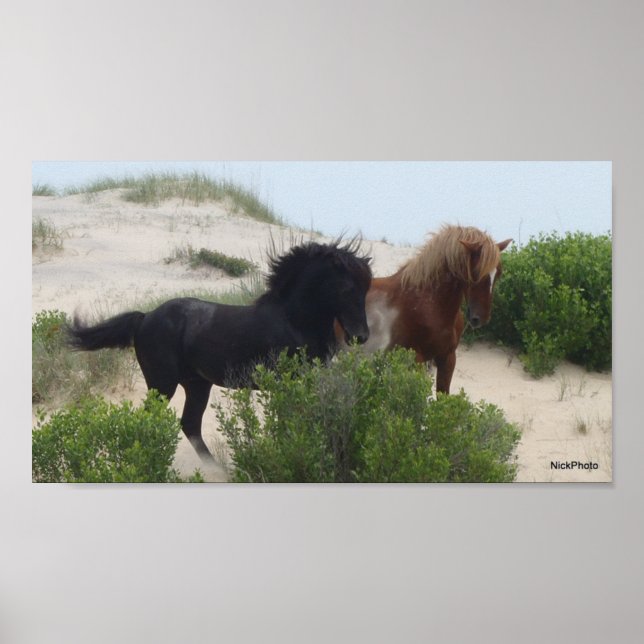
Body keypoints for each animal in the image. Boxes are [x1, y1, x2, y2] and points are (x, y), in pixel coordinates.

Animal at [67, 240, 372, 462]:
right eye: (347, 288)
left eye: (367, 289)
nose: (361, 336)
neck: (292, 320)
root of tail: (145, 317)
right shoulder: (285, 382)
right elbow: (289, 420)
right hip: (162, 384)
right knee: (151, 420)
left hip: (197, 384)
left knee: (190, 425)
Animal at [338, 225, 511, 394]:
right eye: (475, 273)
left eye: (499, 273)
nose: (480, 318)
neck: (430, 304)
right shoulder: (417, 360)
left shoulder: (447, 358)